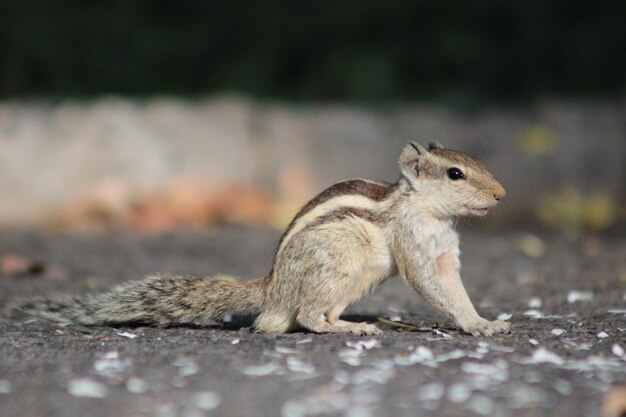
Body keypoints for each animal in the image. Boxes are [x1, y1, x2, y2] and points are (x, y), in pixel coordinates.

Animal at [4, 141, 510, 336]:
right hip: (338, 262)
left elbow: (454, 287)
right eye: (455, 173)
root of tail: (273, 287)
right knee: (306, 318)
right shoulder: (414, 243)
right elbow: (429, 284)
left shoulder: (445, 254)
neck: (426, 209)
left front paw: (484, 320)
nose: (502, 195)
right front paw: (475, 325)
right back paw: (348, 328)